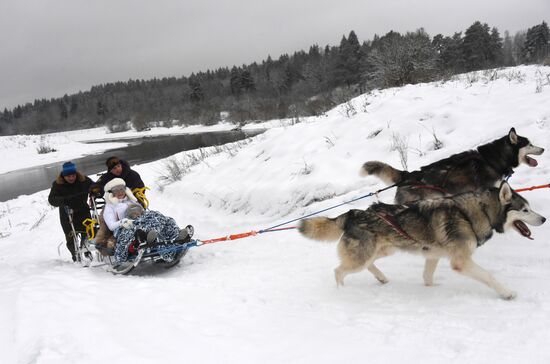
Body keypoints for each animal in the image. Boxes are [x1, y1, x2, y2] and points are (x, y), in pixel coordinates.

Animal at [302, 182, 548, 298]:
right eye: (525, 210)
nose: (544, 219)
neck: (472, 215)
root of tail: (352, 213)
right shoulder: (461, 261)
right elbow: (489, 276)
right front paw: (507, 293)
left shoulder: (433, 255)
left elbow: (427, 277)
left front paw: (431, 289)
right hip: (362, 256)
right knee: (338, 271)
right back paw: (342, 292)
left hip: (383, 250)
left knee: (369, 265)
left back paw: (382, 278)